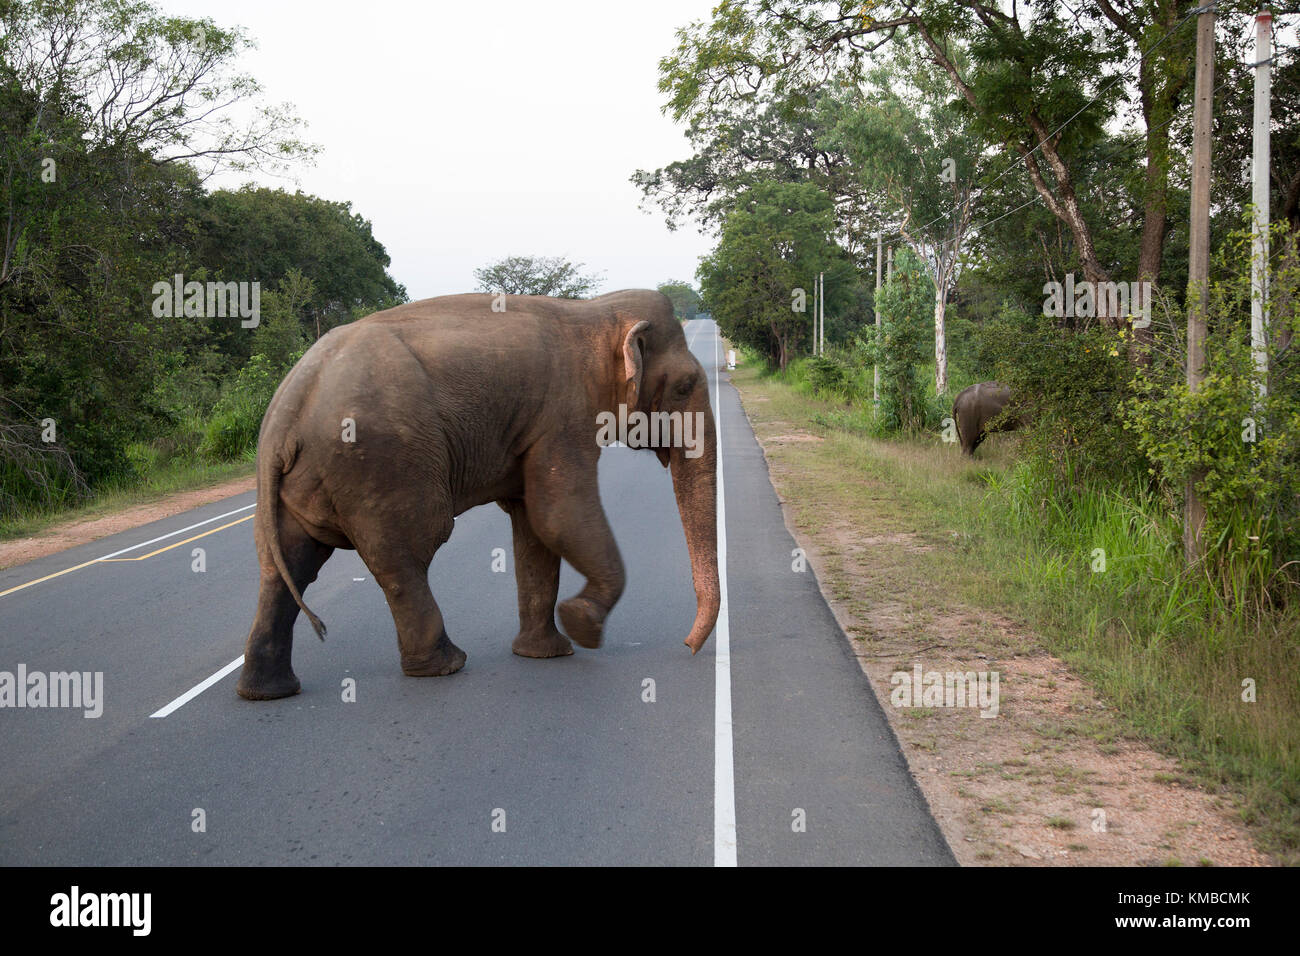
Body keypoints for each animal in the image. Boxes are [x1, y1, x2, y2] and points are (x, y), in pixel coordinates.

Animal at [233, 287, 722, 697]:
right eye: (683, 387)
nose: (687, 646)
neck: (594, 311)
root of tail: (287, 410)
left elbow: (534, 526)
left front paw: (546, 652)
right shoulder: (563, 416)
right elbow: (559, 515)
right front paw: (582, 625)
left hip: (296, 484)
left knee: (287, 566)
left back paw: (267, 691)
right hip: (379, 463)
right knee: (409, 551)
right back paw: (445, 666)